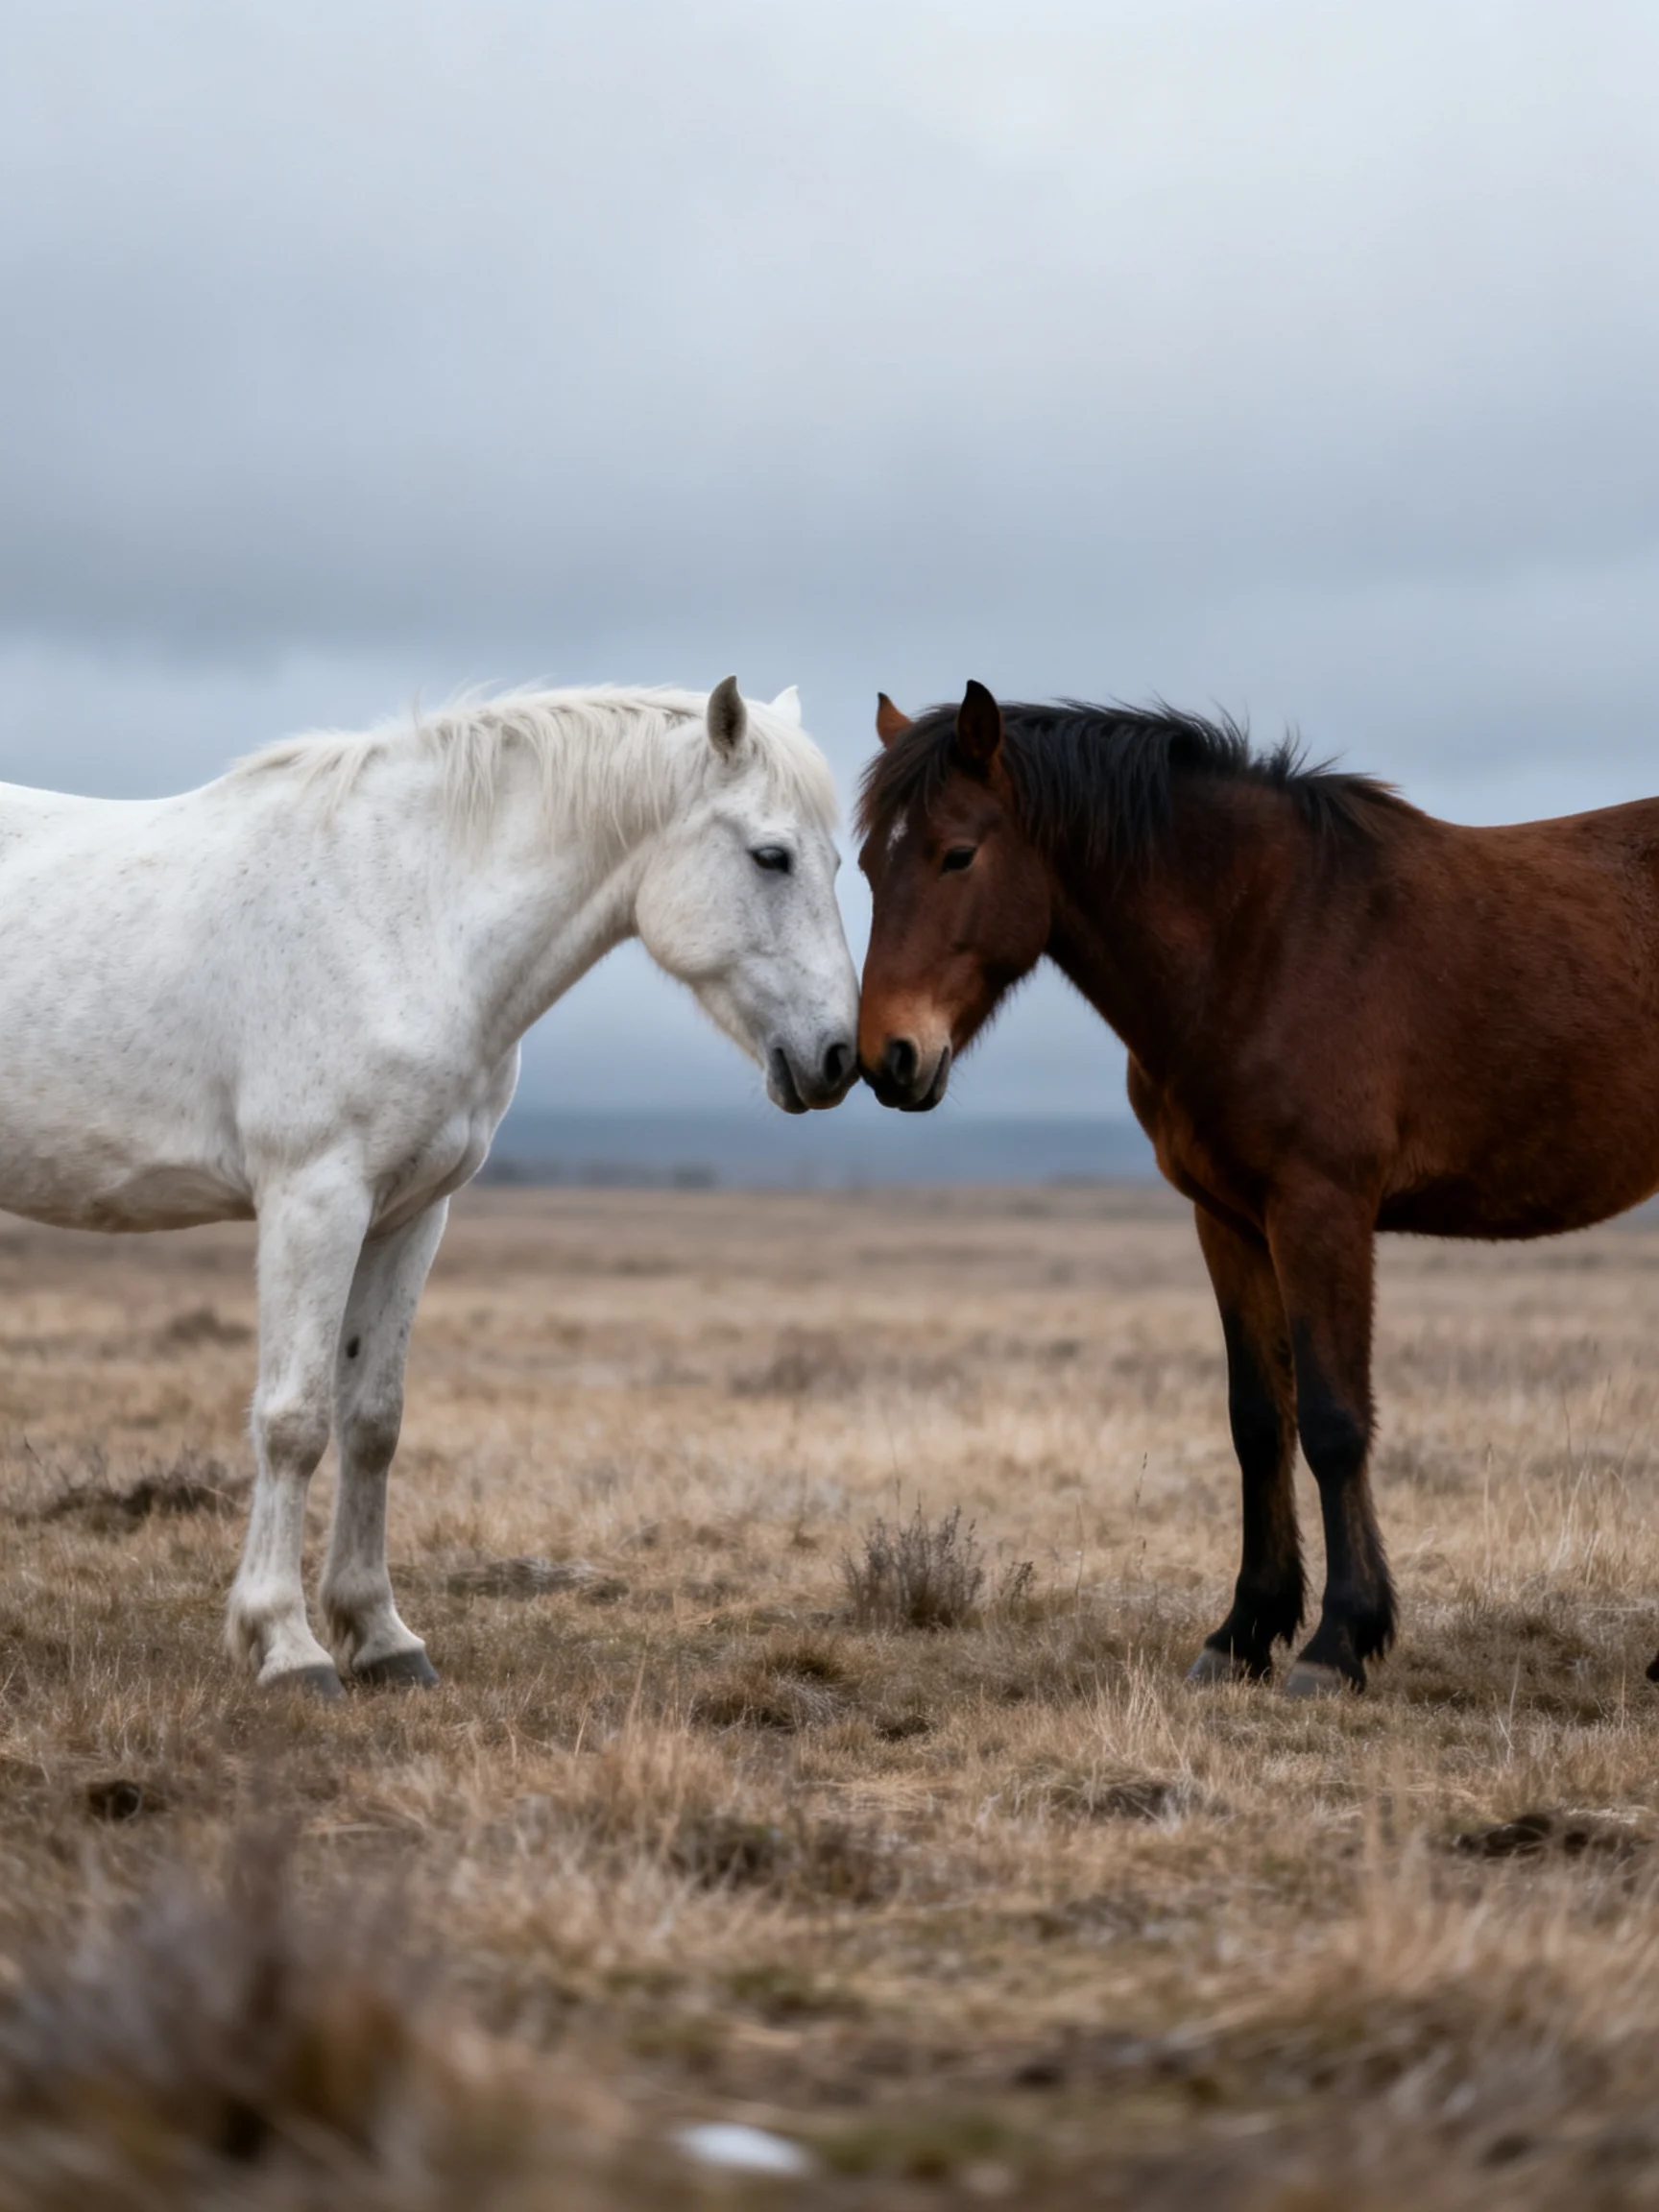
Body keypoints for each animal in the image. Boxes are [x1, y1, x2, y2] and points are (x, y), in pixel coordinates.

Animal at [0, 679, 858, 1695]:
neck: (401, 914)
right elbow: (294, 1419)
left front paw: (380, 1637)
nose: (839, 1057)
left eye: (837, 859)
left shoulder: (410, 1212)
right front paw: (286, 1646)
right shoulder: (315, 1198)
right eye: (772, 856)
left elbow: (374, 1419)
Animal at [856, 678, 1659, 1696]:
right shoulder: (1229, 1221)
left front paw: (1338, 1642)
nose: (887, 1058)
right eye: (866, 866)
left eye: (958, 853)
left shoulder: (1320, 1211)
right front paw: (1245, 1631)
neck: (1260, 940)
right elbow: (1258, 1423)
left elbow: (1332, 1419)